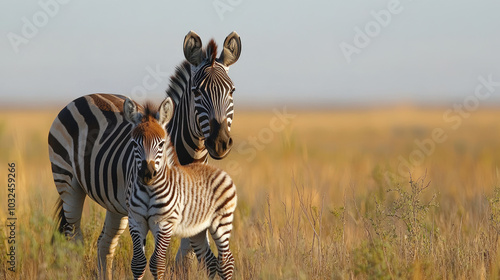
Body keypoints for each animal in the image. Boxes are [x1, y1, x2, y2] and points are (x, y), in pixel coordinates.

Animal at [123, 97, 236, 280]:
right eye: (134, 144)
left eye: (161, 144)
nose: (147, 174)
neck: (149, 190)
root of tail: (217, 169)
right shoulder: (135, 220)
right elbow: (138, 263)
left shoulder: (164, 224)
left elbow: (157, 263)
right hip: (197, 229)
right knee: (210, 260)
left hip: (221, 221)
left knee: (226, 261)